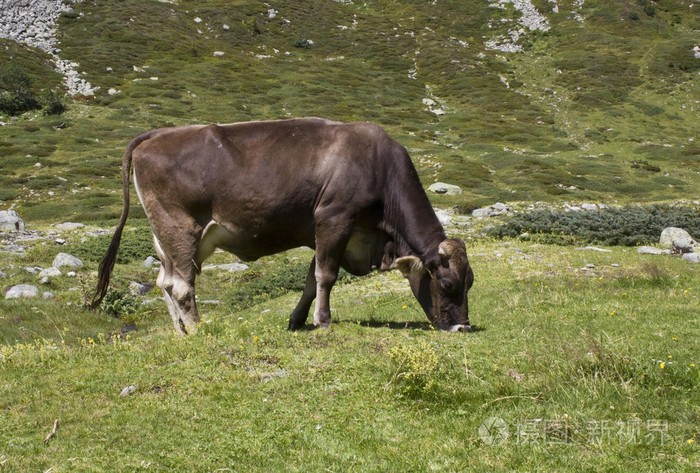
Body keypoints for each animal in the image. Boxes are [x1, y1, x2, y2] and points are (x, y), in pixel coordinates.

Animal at [91, 117, 476, 332]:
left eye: (470, 282)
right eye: (447, 283)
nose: (462, 327)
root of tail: (155, 136)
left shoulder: (330, 233)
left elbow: (310, 281)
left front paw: (297, 321)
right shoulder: (334, 219)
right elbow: (326, 276)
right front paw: (323, 322)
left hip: (165, 238)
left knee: (165, 281)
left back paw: (181, 332)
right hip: (179, 227)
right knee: (182, 285)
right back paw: (198, 330)